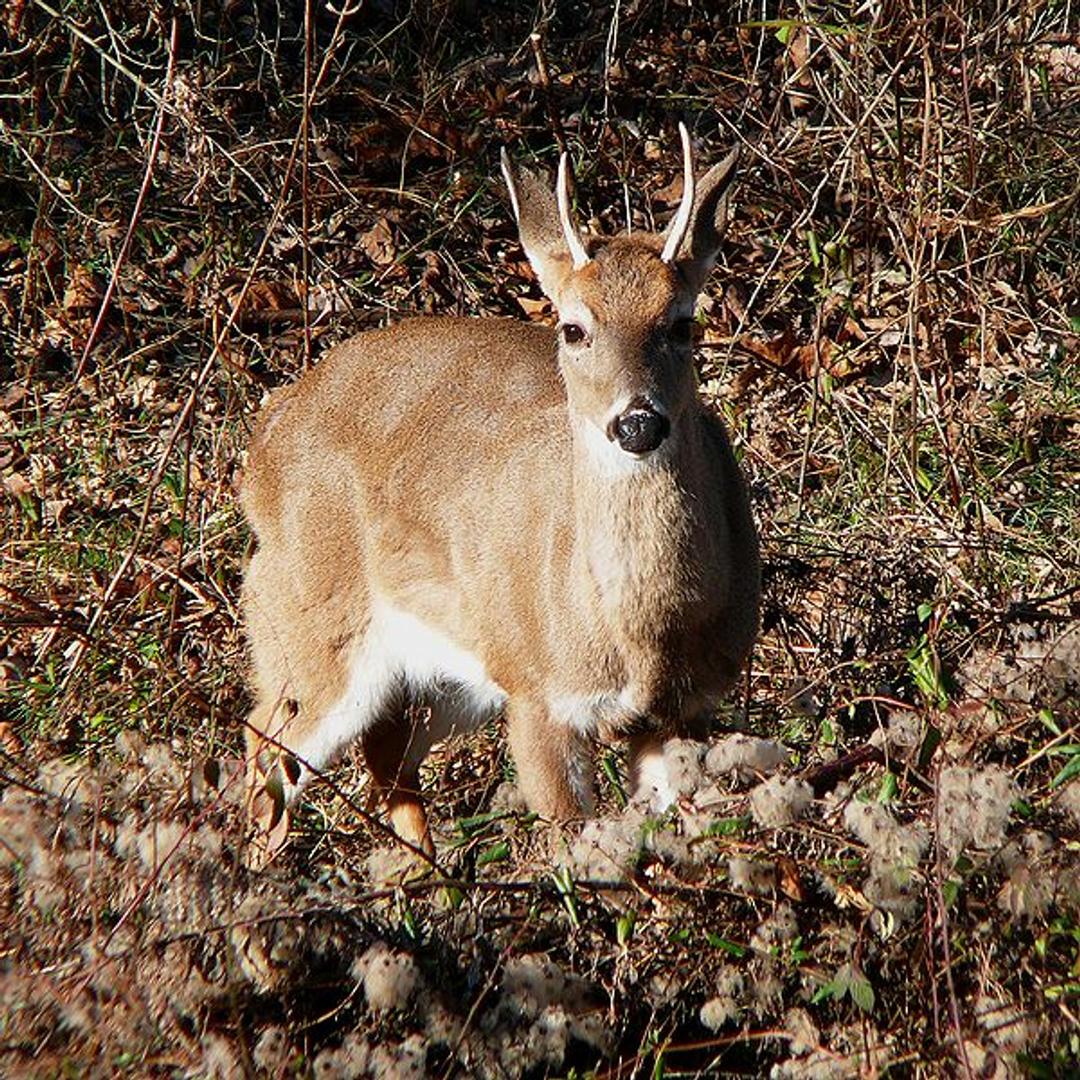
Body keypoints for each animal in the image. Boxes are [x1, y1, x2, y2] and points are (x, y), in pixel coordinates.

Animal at [239, 124, 760, 860]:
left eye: (682, 322)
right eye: (573, 327)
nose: (637, 422)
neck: (641, 638)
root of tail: (263, 445)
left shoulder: (685, 712)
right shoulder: (539, 692)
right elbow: (577, 853)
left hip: (449, 670)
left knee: (386, 752)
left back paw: (425, 873)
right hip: (309, 621)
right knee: (265, 742)